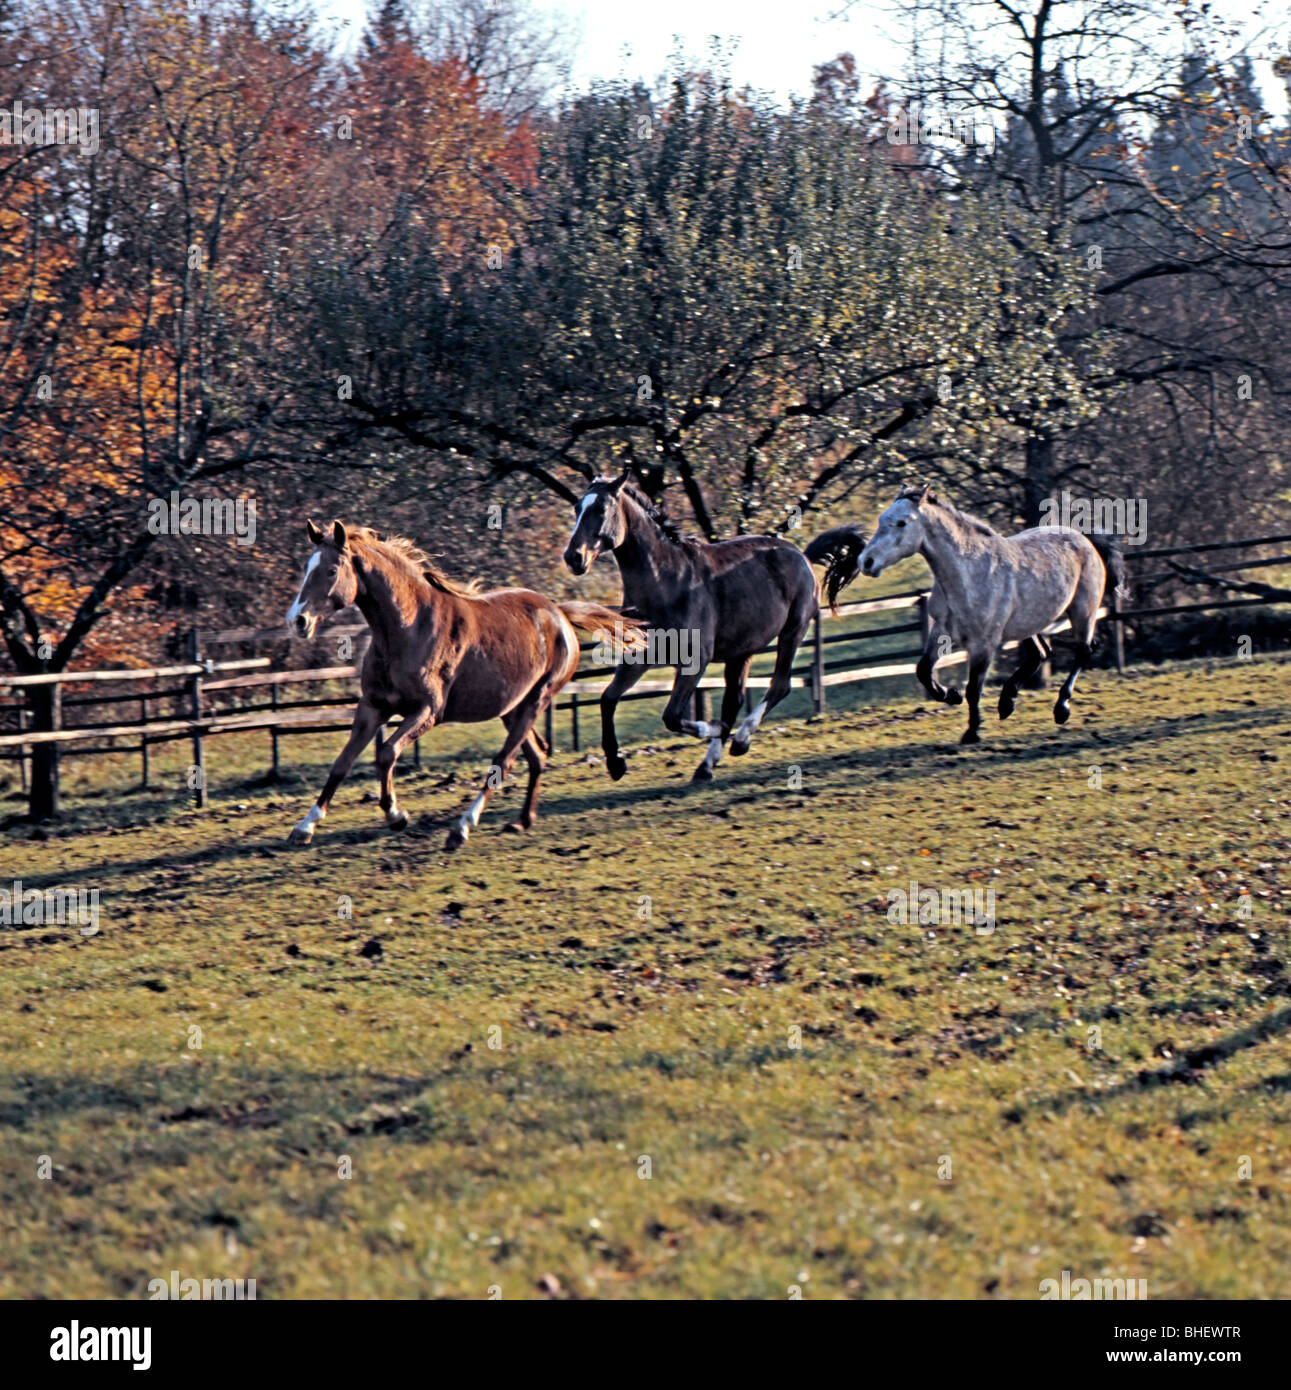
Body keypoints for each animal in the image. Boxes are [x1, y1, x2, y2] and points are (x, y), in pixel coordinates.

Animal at [286, 519, 639, 845]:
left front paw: (396, 815)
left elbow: (386, 753)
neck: (408, 629)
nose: (297, 621)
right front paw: (304, 827)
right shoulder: (372, 708)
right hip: (512, 709)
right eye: (306, 567)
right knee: (537, 754)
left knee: (503, 761)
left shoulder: (428, 711)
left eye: (332, 570)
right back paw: (522, 821)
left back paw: (462, 828)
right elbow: (342, 763)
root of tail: (559, 614)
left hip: (537, 700)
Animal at [564, 475, 817, 783]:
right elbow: (607, 699)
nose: (573, 557)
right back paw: (707, 765)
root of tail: (798, 554)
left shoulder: (696, 661)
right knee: (734, 699)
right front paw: (615, 764)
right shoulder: (639, 658)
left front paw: (715, 728)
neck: (666, 584)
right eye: (577, 508)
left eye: (601, 508)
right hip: (741, 651)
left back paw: (740, 740)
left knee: (779, 685)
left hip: (793, 630)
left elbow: (672, 716)